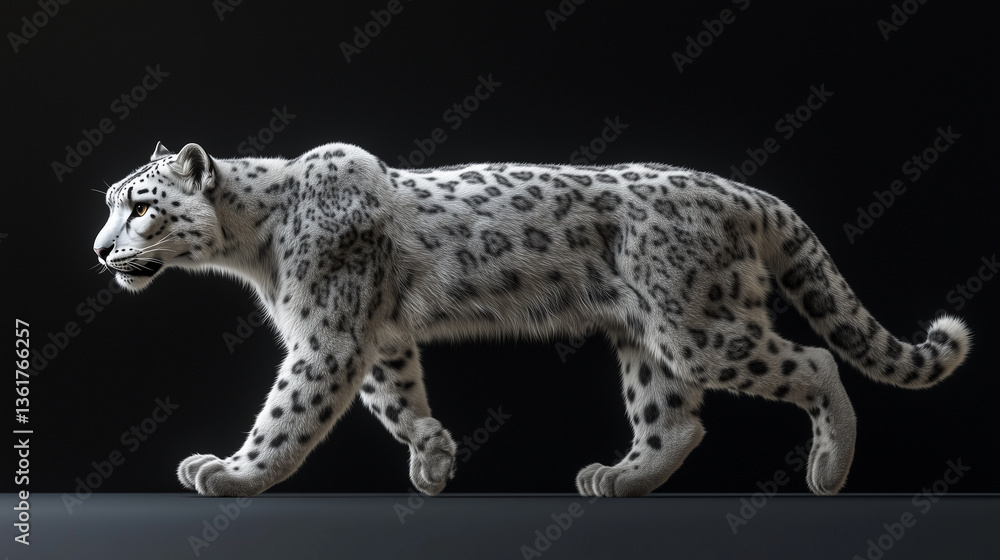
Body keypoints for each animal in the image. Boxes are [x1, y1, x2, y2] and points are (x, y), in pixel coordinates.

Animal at [93, 141, 972, 497]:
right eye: (109, 201)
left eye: (142, 206)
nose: (100, 251)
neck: (252, 249)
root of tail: (747, 193)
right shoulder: (375, 336)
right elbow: (396, 399)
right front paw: (435, 458)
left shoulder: (327, 336)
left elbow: (288, 414)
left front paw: (233, 472)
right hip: (647, 342)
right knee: (674, 421)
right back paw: (617, 479)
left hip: (697, 328)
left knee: (811, 362)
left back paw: (829, 471)